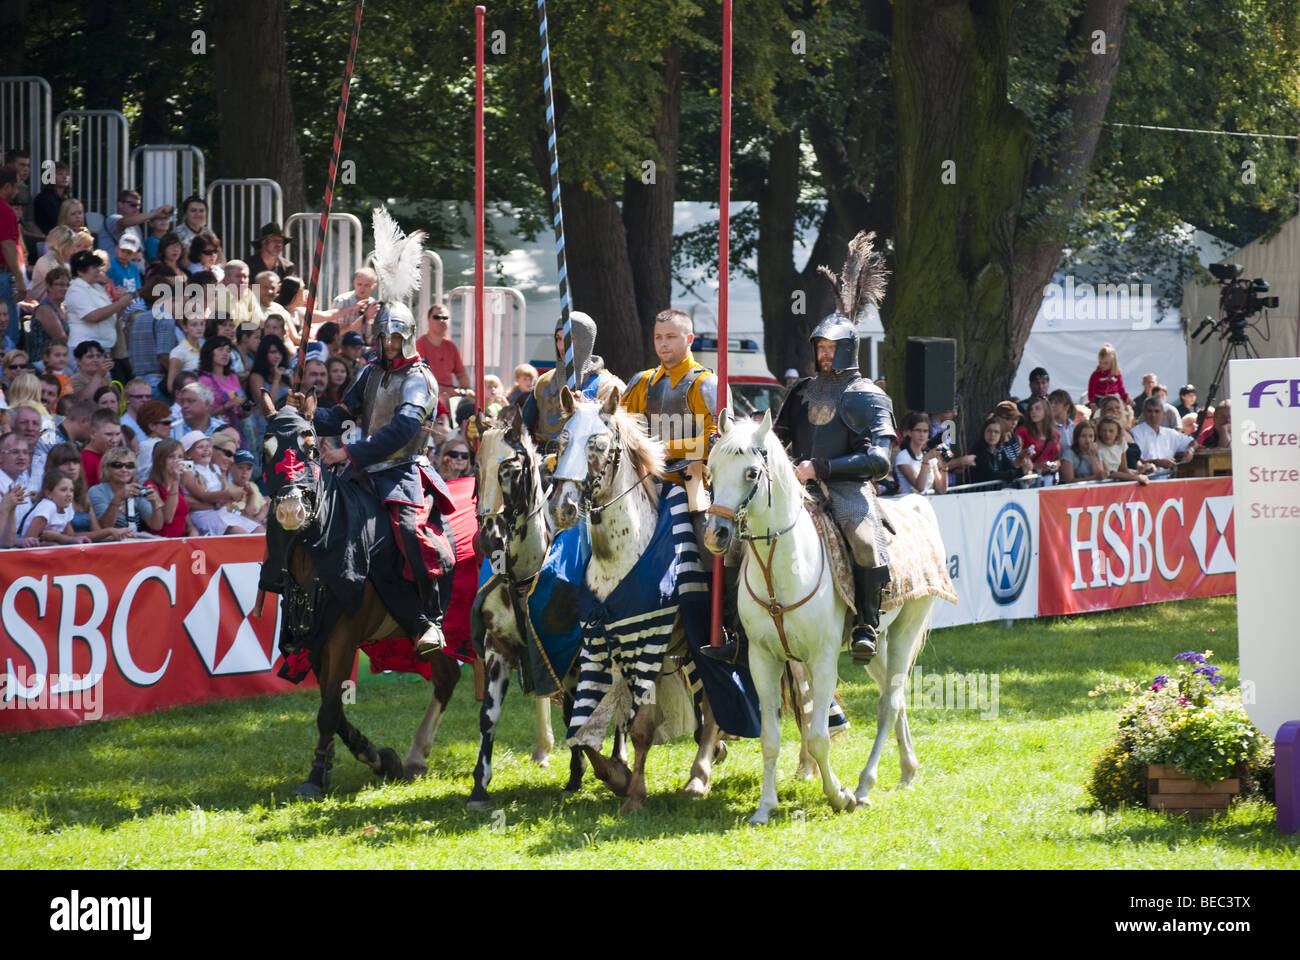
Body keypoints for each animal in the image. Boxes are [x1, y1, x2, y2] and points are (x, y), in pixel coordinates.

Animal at [254, 390, 462, 801]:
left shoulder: (342, 636)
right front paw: (378, 757)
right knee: (447, 675)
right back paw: (416, 757)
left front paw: (317, 776)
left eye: (311, 448)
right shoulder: (316, 636)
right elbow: (333, 708)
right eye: (266, 450)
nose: (289, 510)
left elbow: (329, 711)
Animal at [543, 385, 717, 811]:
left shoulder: (649, 642)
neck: (620, 552)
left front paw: (634, 794)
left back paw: (700, 776)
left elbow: (640, 727)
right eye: (562, 441)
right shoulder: (604, 641)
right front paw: (617, 776)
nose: (562, 507)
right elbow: (582, 727)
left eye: (598, 445)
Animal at [707, 408, 951, 816]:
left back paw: (866, 785)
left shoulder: (821, 659)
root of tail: (916, 505)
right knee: (893, 694)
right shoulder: (763, 659)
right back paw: (907, 770)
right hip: (875, 645)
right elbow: (770, 738)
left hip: (906, 627)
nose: (716, 534)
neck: (782, 567)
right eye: (710, 469)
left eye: (752, 473)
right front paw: (765, 806)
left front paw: (839, 795)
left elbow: (819, 736)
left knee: (890, 701)